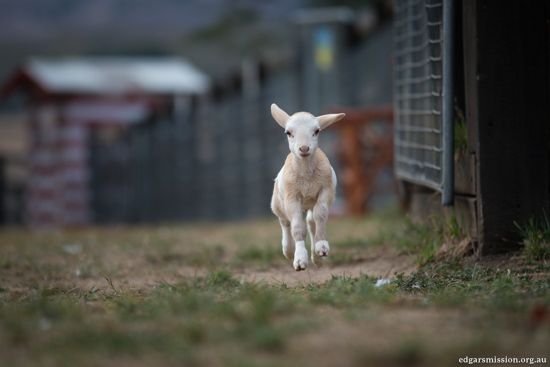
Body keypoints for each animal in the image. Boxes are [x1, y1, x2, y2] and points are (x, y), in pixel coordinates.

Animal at [270, 103, 344, 270]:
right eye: (288, 132)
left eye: (317, 131)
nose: (304, 149)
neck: (306, 176)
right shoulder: (292, 197)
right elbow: (297, 227)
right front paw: (299, 260)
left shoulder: (326, 190)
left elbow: (320, 215)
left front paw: (322, 246)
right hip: (277, 202)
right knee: (285, 221)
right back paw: (289, 250)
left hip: (311, 201)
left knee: (311, 221)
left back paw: (317, 257)